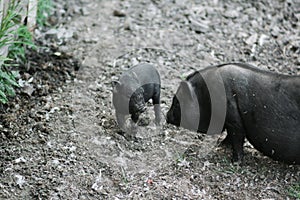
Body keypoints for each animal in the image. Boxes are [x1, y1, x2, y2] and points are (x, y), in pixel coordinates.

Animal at [166, 62, 300, 164]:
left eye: (177, 102)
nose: (166, 116)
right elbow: (230, 135)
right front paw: (220, 145)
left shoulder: (233, 117)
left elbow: (237, 137)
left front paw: (235, 162)